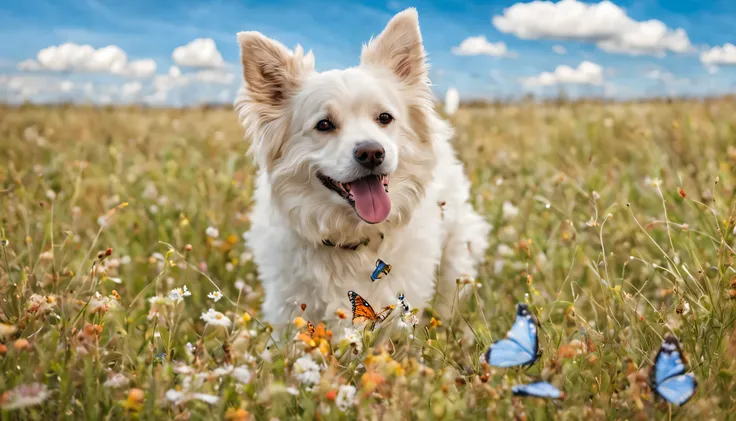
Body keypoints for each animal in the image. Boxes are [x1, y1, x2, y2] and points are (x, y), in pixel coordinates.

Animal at [236, 7, 488, 328]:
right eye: (324, 125)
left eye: (384, 118)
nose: (371, 153)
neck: (352, 239)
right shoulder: (287, 307)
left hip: (456, 254)